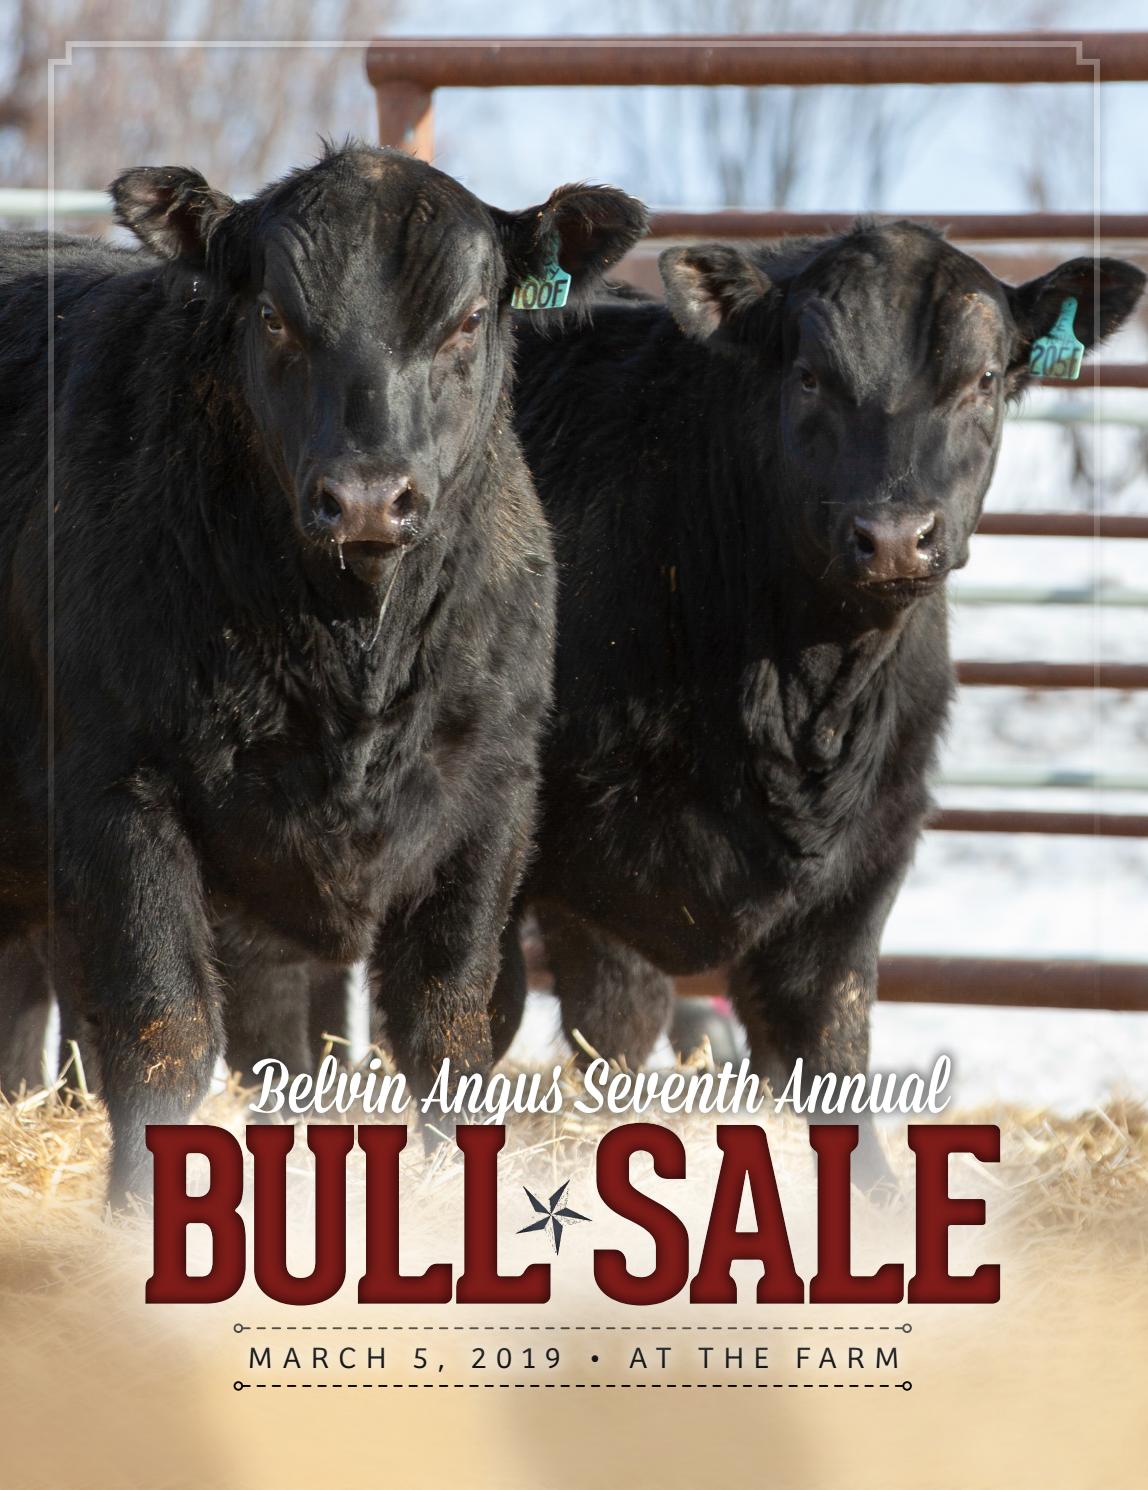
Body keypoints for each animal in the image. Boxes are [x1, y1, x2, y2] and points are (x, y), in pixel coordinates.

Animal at [0, 142, 646, 1200]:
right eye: (273, 314)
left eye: (470, 318)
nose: (370, 498)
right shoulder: (118, 793)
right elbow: (164, 1039)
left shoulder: (493, 801)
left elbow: (446, 1036)